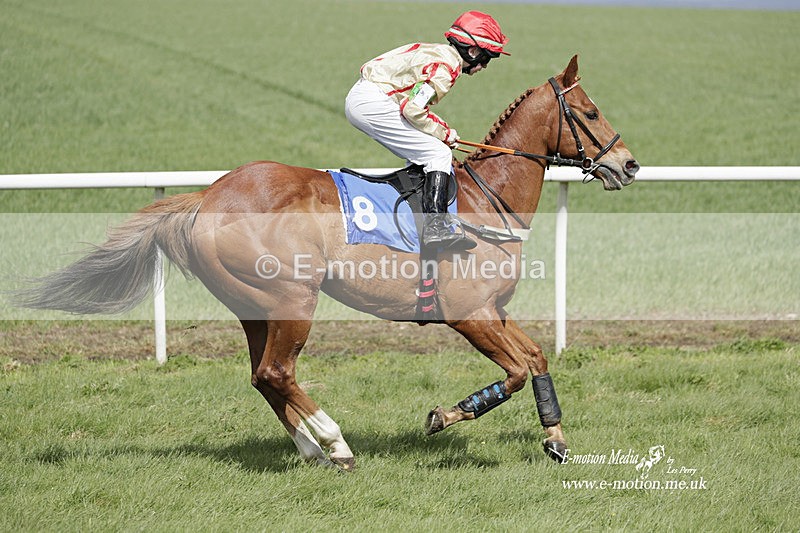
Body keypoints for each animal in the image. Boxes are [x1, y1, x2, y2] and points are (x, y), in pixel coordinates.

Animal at [15, 55, 639, 470]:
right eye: (590, 112)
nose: (629, 164)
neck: (486, 199)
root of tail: (208, 196)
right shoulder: (468, 315)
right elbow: (511, 372)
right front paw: (444, 416)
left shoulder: (494, 310)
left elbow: (535, 358)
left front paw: (555, 437)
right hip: (294, 296)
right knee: (277, 372)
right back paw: (336, 443)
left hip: (255, 306)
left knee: (264, 376)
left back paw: (313, 450)